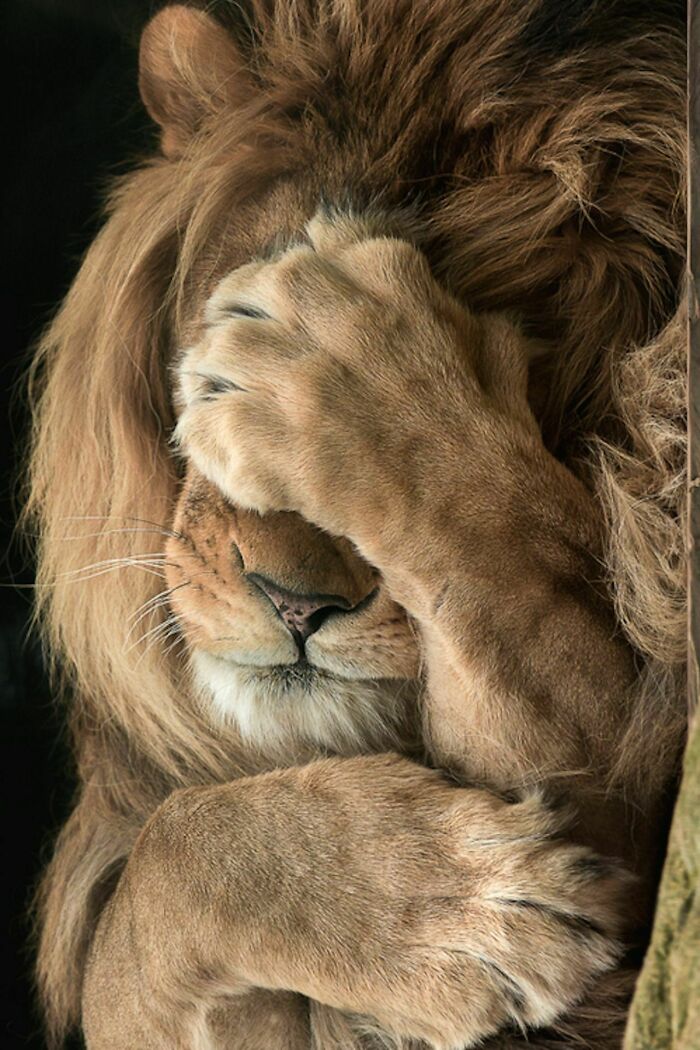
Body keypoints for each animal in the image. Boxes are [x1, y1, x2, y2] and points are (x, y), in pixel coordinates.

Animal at [29, 2, 687, 1048]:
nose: (295, 605)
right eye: (211, 350)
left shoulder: (638, 819)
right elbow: (153, 884)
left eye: (530, 393)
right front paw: (453, 916)